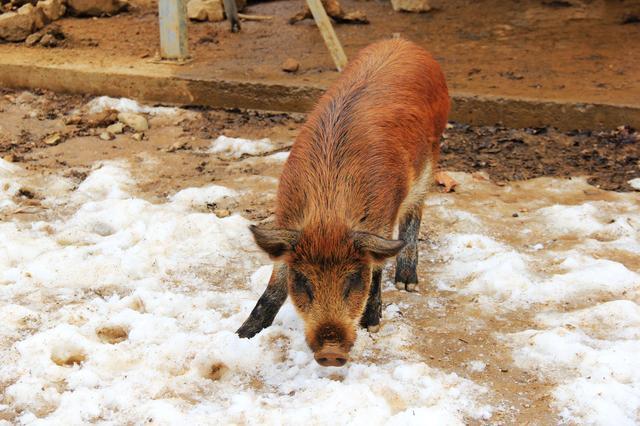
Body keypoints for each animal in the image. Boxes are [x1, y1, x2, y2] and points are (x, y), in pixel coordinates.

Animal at [236, 38, 450, 368]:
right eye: (304, 282)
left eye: (352, 280)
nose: (331, 352)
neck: (329, 213)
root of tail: (403, 42)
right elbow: (275, 281)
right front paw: (242, 335)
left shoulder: (381, 220)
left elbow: (377, 266)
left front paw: (372, 325)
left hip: (432, 155)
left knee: (415, 214)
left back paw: (407, 284)